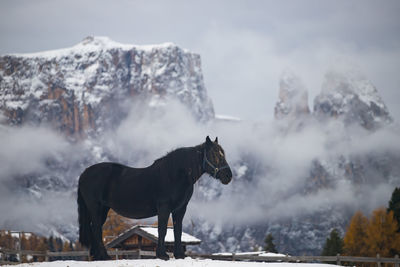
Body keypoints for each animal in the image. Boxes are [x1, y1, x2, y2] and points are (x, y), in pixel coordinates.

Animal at [77, 137, 233, 260]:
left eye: (223, 154)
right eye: (214, 155)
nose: (228, 176)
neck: (175, 175)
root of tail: (85, 173)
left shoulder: (180, 209)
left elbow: (177, 229)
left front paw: (179, 255)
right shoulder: (164, 207)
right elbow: (162, 230)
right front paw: (162, 255)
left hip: (103, 209)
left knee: (95, 228)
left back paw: (97, 256)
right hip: (95, 207)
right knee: (97, 229)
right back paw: (104, 256)